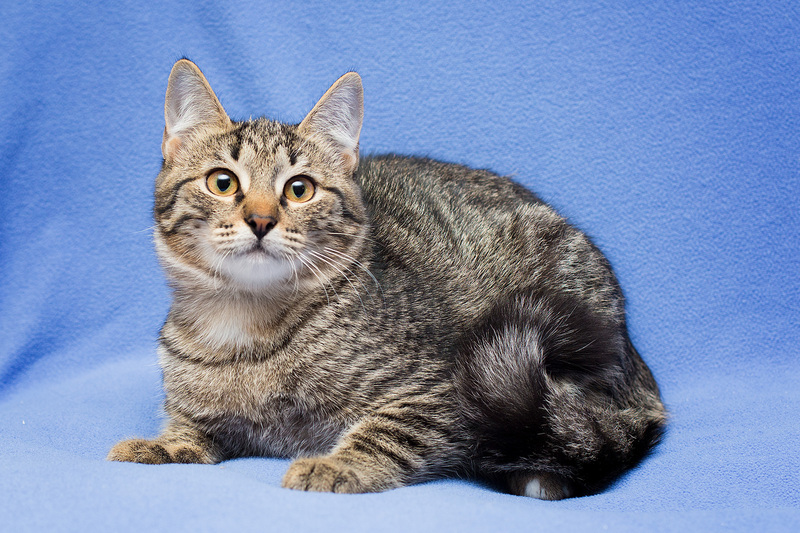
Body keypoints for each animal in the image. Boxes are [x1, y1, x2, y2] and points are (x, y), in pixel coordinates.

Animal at [108, 59, 668, 498]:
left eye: (299, 189)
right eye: (222, 182)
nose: (262, 220)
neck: (242, 324)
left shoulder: (440, 392)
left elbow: (385, 432)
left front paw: (338, 463)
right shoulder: (199, 414)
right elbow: (189, 430)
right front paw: (161, 445)